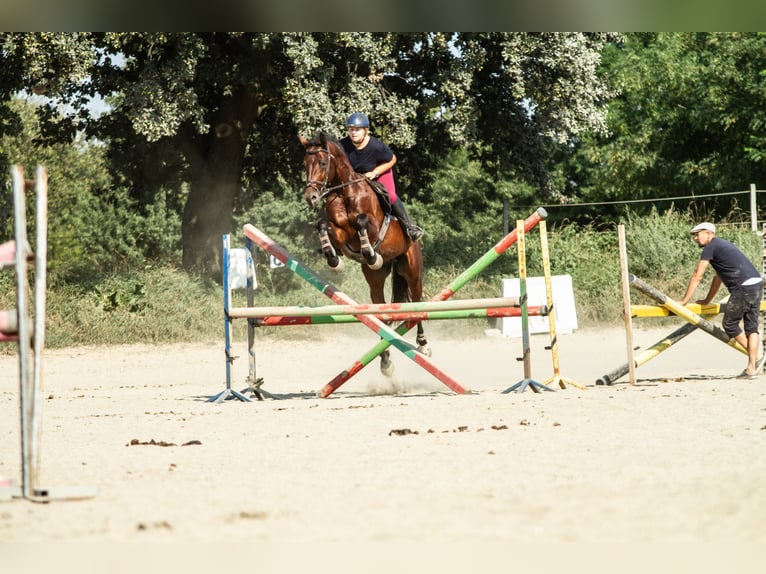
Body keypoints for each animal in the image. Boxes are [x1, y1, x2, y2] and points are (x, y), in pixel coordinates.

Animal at [300, 131, 432, 376]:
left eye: (322, 163)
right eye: (305, 164)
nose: (311, 197)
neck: (344, 191)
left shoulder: (371, 224)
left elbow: (362, 222)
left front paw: (371, 254)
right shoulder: (340, 232)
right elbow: (322, 225)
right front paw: (334, 260)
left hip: (413, 271)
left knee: (417, 304)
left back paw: (423, 344)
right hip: (376, 282)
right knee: (381, 313)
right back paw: (385, 360)